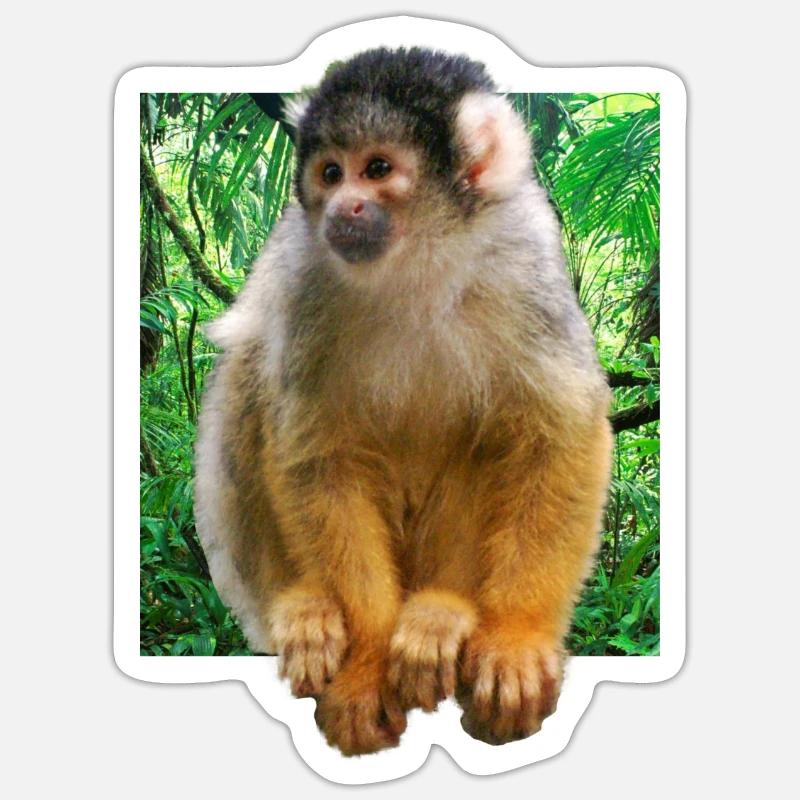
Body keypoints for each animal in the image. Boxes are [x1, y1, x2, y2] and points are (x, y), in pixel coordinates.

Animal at [194, 47, 613, 755]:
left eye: (379, 169)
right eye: (330, 173)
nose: (344, 208)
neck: (418, 261)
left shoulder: (524, 261)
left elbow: (559, 434)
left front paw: (517, 636)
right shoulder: (306, 276)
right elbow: (318, 456)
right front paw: (365, 665)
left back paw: (444, 612)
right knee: (251, 366)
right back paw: (300, 607)